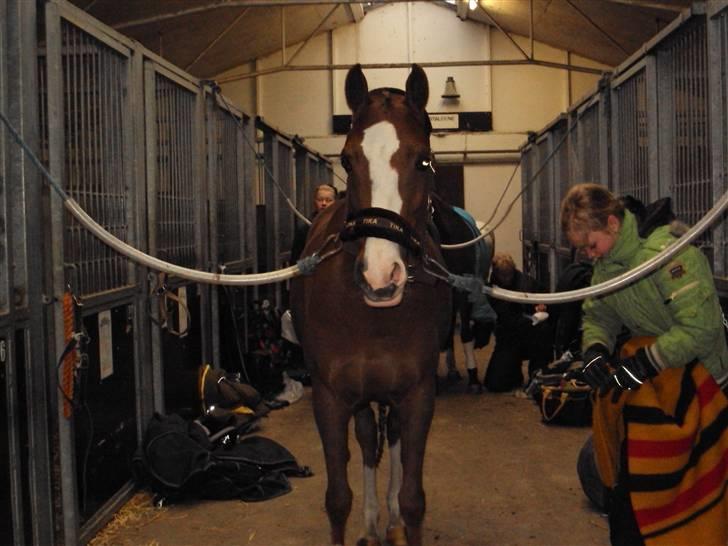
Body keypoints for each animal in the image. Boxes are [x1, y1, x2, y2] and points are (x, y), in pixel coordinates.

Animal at [290, 65, 450, 544]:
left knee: (390, 439)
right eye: (346, 160)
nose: (380, 277)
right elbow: (337, 499)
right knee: (367, 442)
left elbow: (415, 501)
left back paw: (389, 516)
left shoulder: (418, 395)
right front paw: (365, 518)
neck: (372, 318)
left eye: (423, 160)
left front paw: (401, 512)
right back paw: (374, 521)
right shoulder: (330, 398)